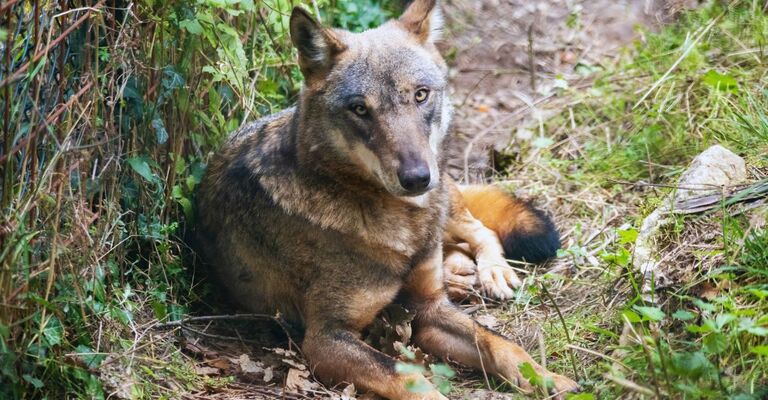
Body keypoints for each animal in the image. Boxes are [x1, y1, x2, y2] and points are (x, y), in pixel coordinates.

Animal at [196, 1, 578, 398]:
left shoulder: (429, 310)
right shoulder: (326, 338)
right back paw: (461, 275)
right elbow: (409, 377)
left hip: (449, 206)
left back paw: (492, 273)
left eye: (421, 94)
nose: (417, 178)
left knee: (480, 230)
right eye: (360, 109)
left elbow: (501, 344)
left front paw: (549, 378)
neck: (395, 224)